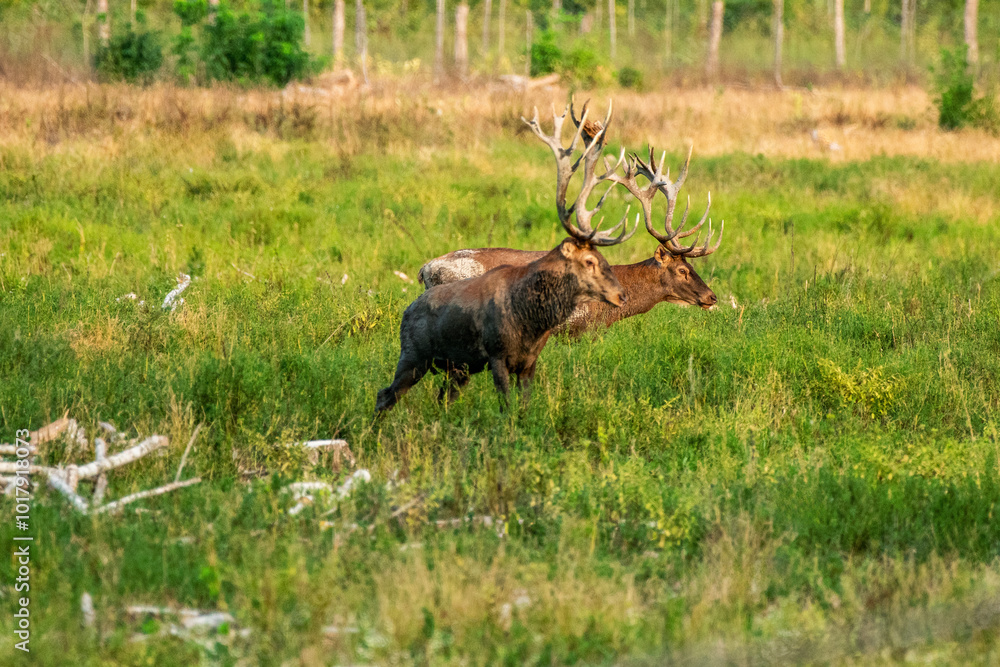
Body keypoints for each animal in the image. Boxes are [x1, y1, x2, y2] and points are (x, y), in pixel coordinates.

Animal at [375, 102, 641, 416]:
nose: (622, 295)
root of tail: (420, 274)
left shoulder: (529, 363)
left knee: (440, 399)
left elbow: (524, 408)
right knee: (385, 395)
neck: (531, 318)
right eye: (588, 260)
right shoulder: (497, 356)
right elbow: (506, 406)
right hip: (414, 356)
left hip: (456, 369)